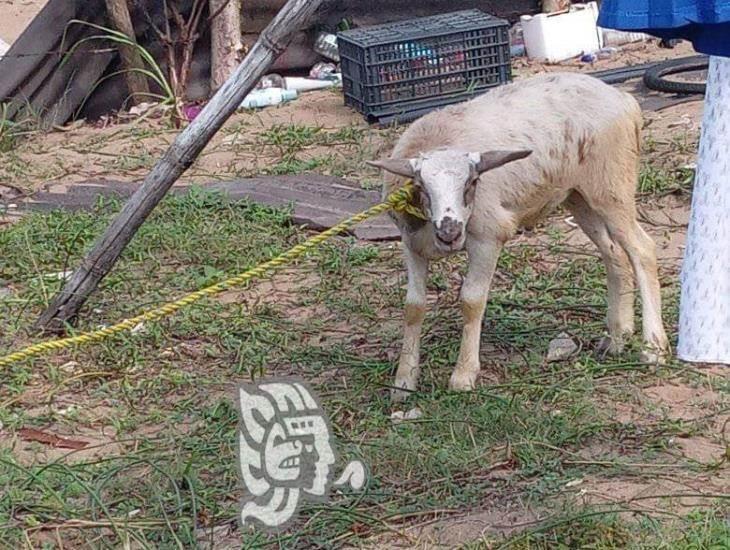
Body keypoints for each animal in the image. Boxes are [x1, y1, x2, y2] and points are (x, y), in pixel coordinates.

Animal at [366, 72, 668, 402]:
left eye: (472, 182)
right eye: (420, 186)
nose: (450, 233)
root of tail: (623, 99)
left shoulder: (488, 235)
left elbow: (471, 301)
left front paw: (463, 376)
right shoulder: (412, 245)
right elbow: (413, 307)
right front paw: (404, 381)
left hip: (612, 186)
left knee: (642, 250)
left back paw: (653, 349)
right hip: (578, 195)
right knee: (614, 253)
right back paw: (617, 336)